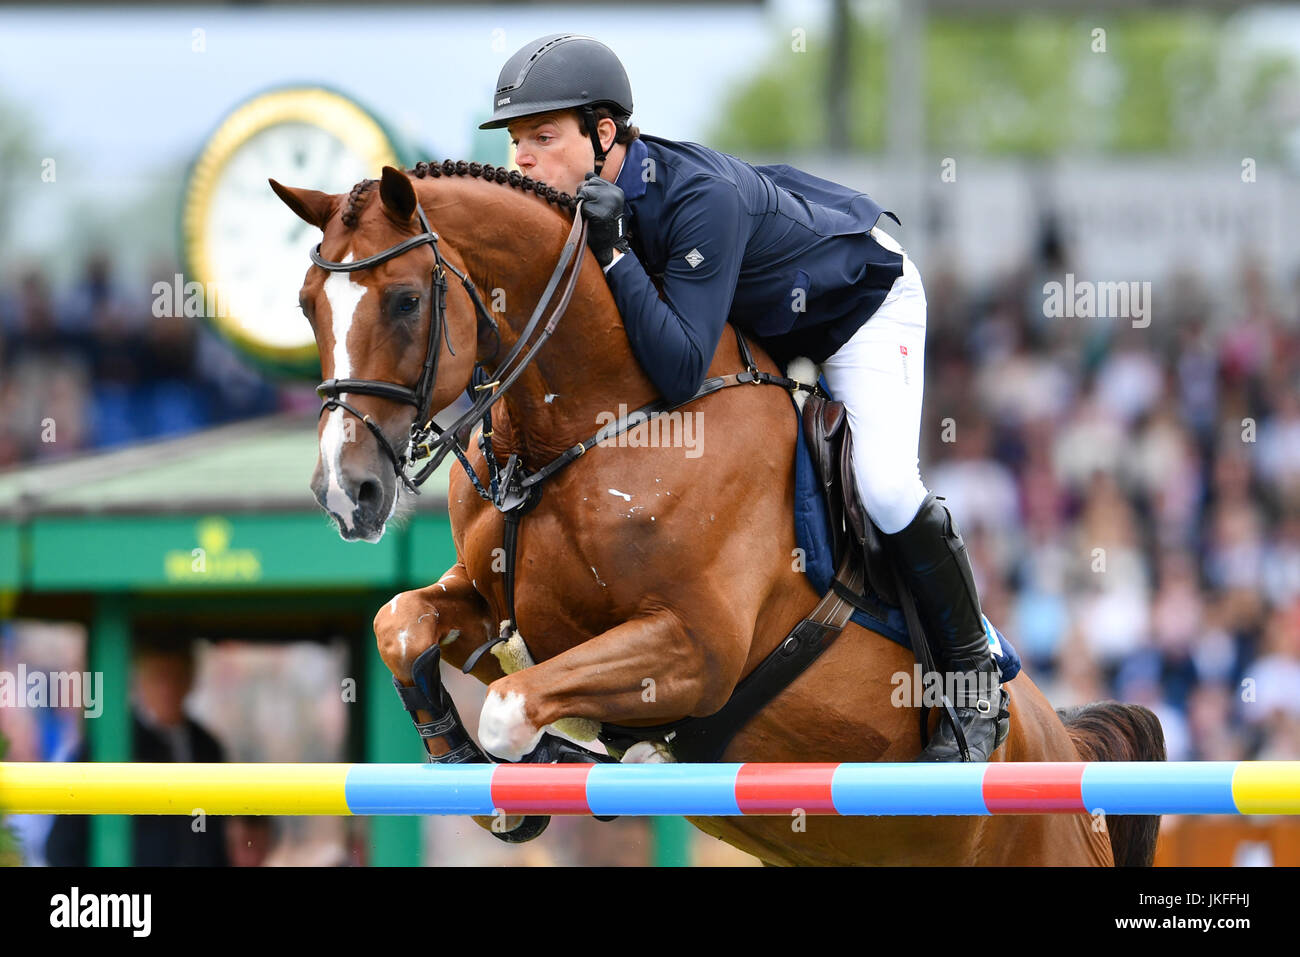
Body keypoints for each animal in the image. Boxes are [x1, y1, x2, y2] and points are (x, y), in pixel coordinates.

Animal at [269, 160, 1164, 863]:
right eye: (308, 303)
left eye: (405, 301)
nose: (346, 491)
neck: (589, 425)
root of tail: (1065, 744)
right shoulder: (493, 602)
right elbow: (401, 624)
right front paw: (472, 768)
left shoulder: (694, 650)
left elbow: (510, 705)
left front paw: (567, 761)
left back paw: (969, 725)